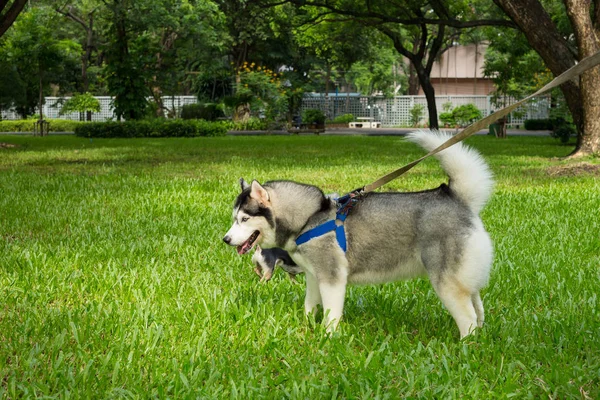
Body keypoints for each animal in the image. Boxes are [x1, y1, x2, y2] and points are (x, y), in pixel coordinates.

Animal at [221, 131, 492, 338]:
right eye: (234, 218)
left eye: (244, 219)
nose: (225, 239)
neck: (311, 217)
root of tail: (456, 197)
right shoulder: (313, 275)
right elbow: (310, 304)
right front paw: (307, 325)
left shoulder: (332, 277)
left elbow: (331, 312)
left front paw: (327, 336)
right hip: (466, 276)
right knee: (477, 306)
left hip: (446, 281)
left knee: (467, 316)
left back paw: (465, 346)